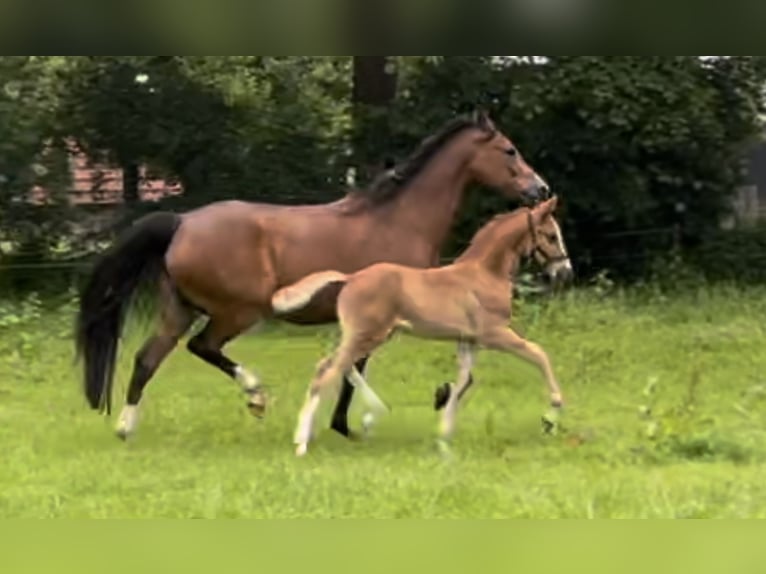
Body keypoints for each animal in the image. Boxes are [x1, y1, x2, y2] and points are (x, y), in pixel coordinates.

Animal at [76, 110, 552, 444]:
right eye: (509, 150)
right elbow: (354, 368)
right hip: (238, 311)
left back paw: (125, 428)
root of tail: (182, 222)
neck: (399, 220)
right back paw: (255, 395)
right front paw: (353, 423)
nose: (541, 189)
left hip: (179, 309)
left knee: (146, 359)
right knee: (203, 347)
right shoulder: (380, 319)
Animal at [272, 198, 572, 460]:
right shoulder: (495, 333)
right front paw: (550, 417)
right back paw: (302, 443)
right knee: (327, 372)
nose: (565, 273)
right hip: (367, 335)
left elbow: (464, 381)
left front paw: (443, 436)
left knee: (335, 367)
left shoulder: (468, 340)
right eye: (551, 236)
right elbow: (539, 354)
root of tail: (351, 277)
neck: (485, 274)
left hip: (370, 336)